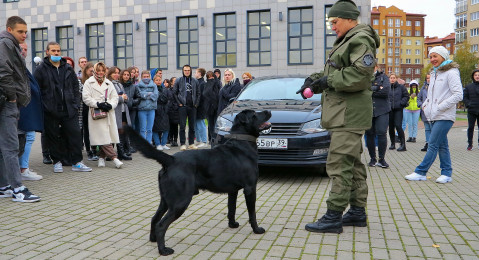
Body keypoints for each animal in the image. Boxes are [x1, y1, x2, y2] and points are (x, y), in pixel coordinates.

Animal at [127, 108, 272, 255]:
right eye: (254, 114)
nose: (268, 111)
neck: (242, 143)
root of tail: (171, 160)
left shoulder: (233, 190)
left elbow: (231, 208)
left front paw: (232, 224)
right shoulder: (250, 188)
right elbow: (252, 213)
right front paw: (257, 229)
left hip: (166, 200)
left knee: (154, 219)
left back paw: (153, 239)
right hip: (180, 201)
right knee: (161, 225)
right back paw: (163, 250)